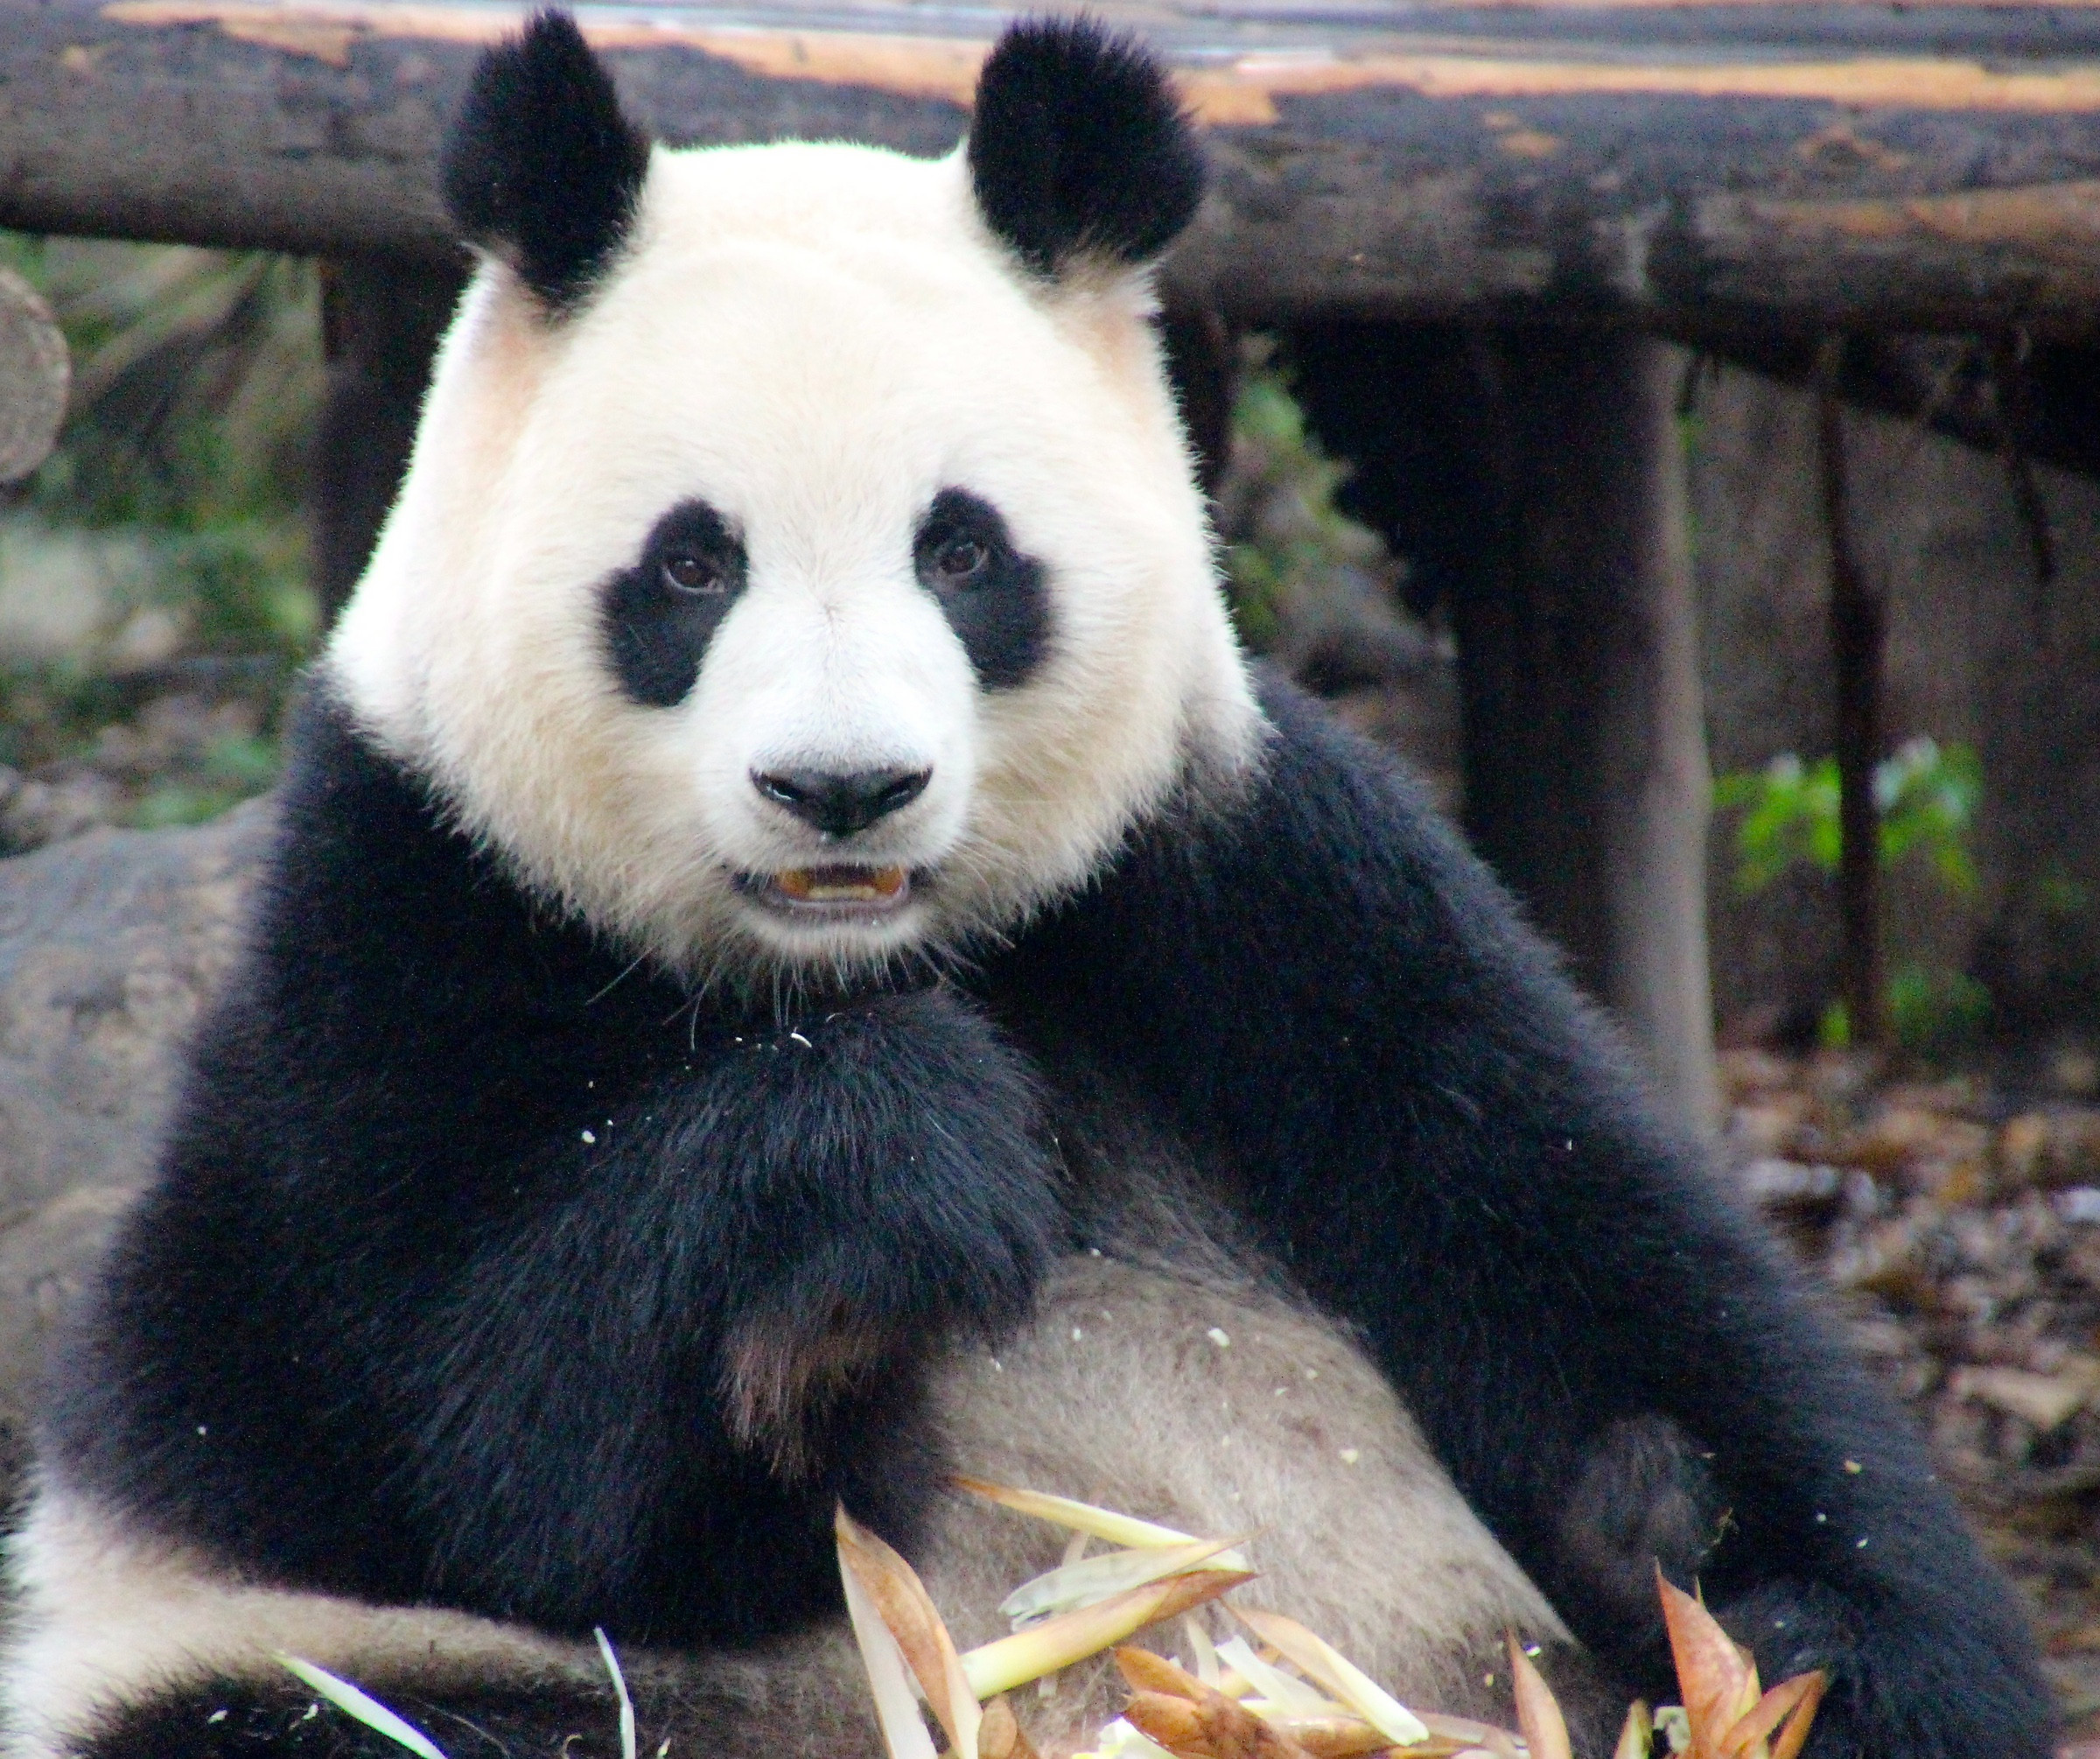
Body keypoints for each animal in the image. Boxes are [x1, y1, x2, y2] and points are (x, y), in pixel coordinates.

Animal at [0, 13, 2049, 1759]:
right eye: (691, 566)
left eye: (965, 551)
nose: (842, 788)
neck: (847, 968)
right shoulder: (403, 919)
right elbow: (419, 1426)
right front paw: (880, 1181)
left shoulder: (1255, 887)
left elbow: (1608, 1266)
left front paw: (1806, 1647)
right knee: (308, 1710)